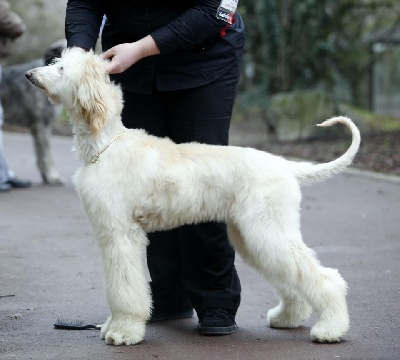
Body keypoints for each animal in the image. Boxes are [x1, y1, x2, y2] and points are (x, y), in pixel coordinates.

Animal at [0, 39, 65, 184]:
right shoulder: (43, 124)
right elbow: (47, 153)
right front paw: (53, 176)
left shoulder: (36, 128)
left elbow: (40, 154)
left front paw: (46, 176)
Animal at [26, 47, 360, 346]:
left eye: (61, 69)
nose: (30, 75)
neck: (106, 143)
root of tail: (285, 165)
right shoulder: (112, 233)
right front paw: (111, 325)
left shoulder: (120, 233)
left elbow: (124, 287)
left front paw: (123, 331)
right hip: (254, 235)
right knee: (291, 277)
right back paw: (287, 317)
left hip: (267, 230)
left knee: (325, 278)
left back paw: (330, 329)